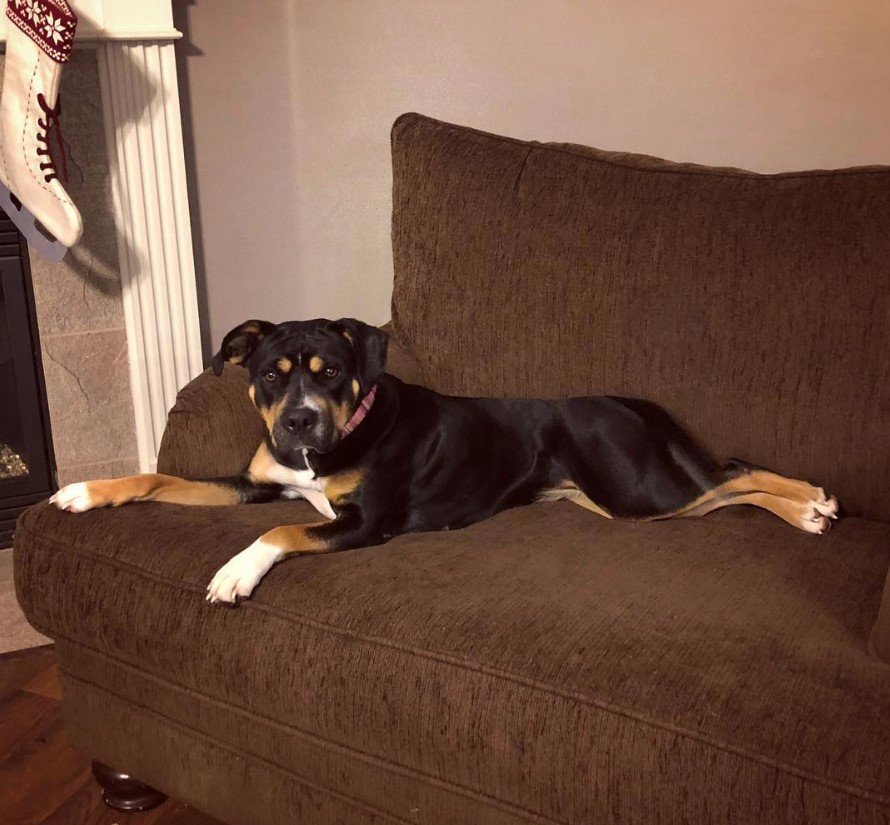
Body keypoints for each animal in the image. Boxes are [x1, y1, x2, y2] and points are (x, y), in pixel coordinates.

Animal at [52, 316, 836, 600]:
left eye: (332, 372)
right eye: (272, 374)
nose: (300, 419)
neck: (324, 449)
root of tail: (620, 399)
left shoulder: (363, 521)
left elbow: (280, 530)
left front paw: (236, 572)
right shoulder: (258, 483)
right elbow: (162, 475)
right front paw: (86, 491)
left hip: (634, 488)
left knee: (730, 474)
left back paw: (810, 505)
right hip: (605, 493)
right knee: (722, 477)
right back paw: (810, 504)